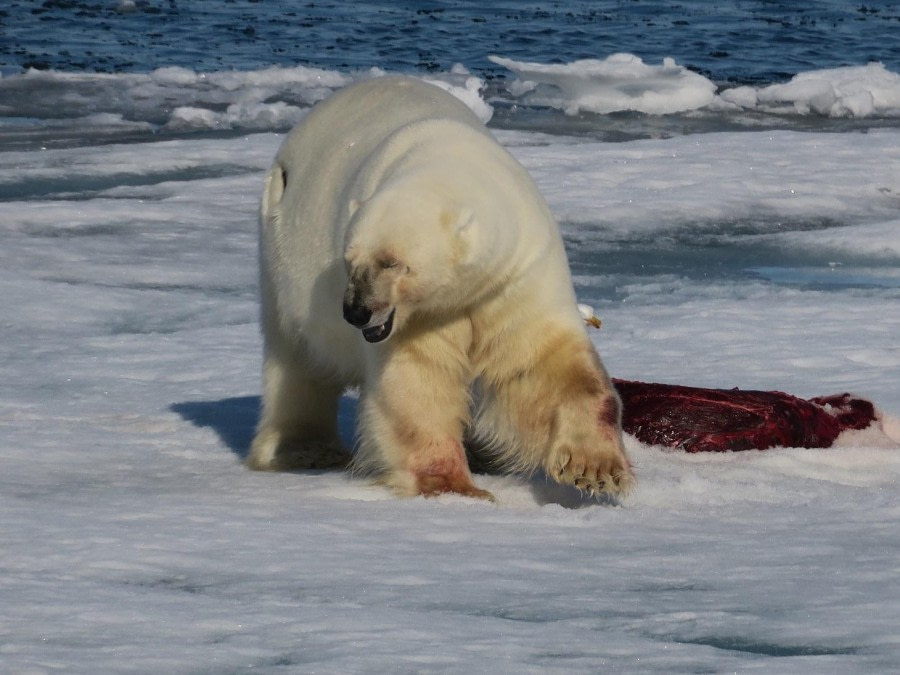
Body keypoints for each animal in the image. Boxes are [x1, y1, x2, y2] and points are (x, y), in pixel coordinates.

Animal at [247, 76, 633, 500]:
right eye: (349, 261)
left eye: (391, 262)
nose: (355, 311)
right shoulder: (421, 317)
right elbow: (418, 379)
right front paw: (456, 488)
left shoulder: (518, 270)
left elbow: (542, 363)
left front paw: (595, 469)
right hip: (279, 253)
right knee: (294, 359)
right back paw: (303, 448)